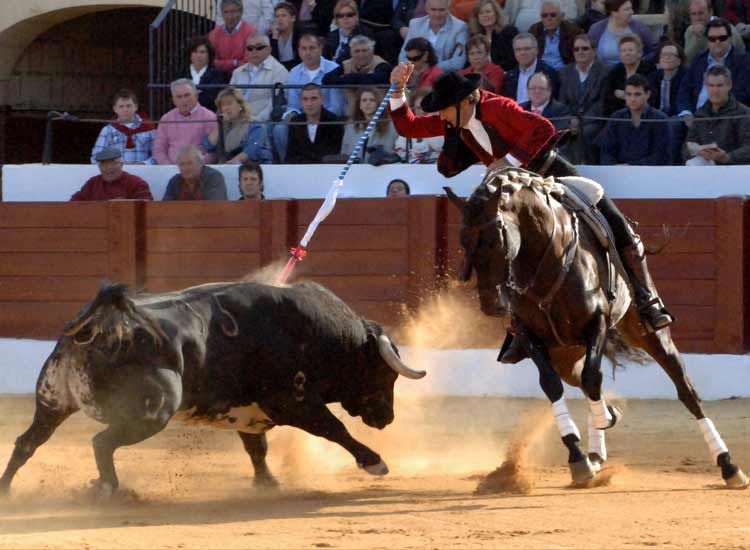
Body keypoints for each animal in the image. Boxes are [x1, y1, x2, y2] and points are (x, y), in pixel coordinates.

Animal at [0, 280, 424, 500]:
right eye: (385, 375)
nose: (386, 417)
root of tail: (96, 326)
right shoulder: (293, 401)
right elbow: (334, 428)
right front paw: (375, 462)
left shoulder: (251, 413)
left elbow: (256, 448)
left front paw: (266, 484)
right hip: (153, 411)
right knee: (101, 442)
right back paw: (109, 489)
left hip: (53, 401)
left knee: (26, 443)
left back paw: (6, 491)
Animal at [450, 169, 748, 492]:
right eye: (463, 241)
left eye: (496, 239)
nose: (491, 304)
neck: (544, 258)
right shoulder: (529, 336)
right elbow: (552, 385)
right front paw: (579, 458)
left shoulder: (598, 322)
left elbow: (593, 377)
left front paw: (602, 424)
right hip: (566, 353)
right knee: (581, 380)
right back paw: (595, 453)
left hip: (647, 333)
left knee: (686, 391)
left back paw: (729, 467)